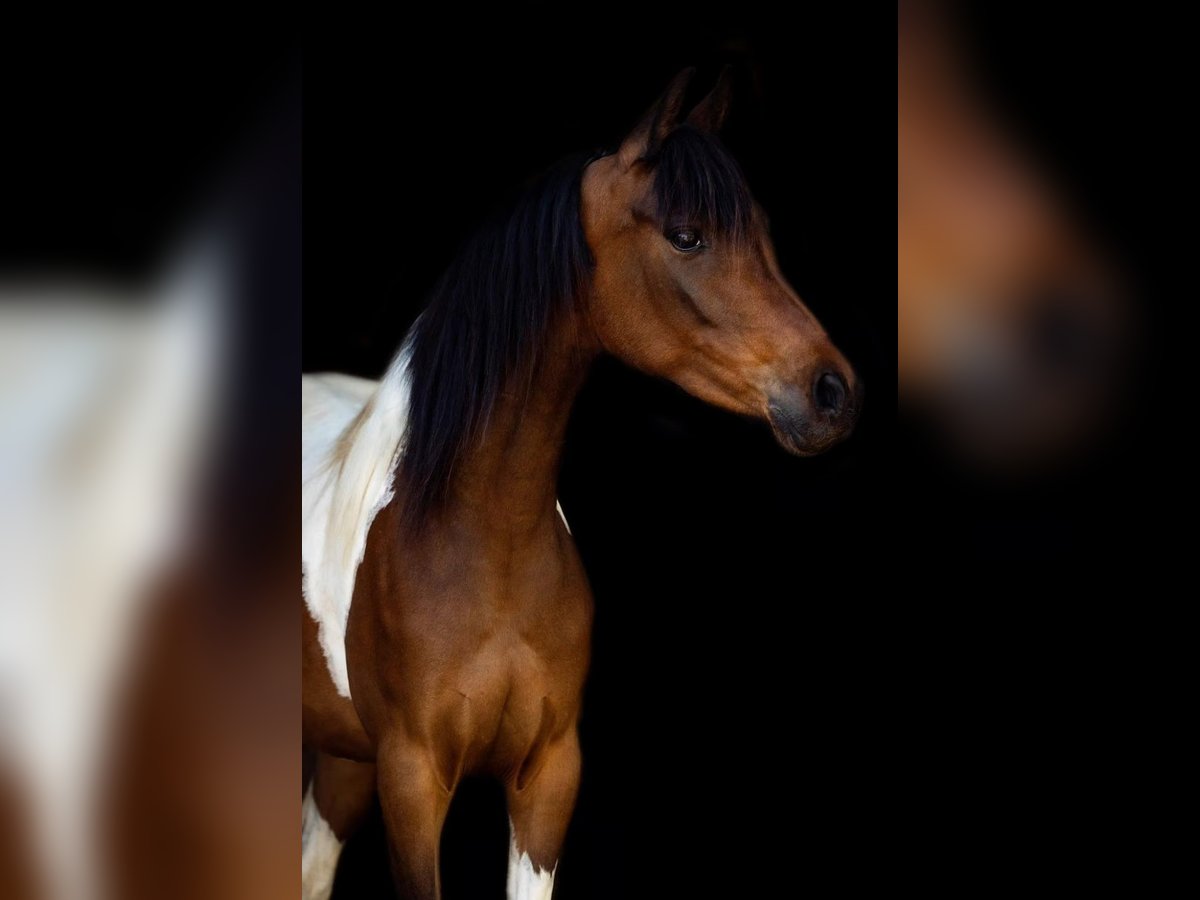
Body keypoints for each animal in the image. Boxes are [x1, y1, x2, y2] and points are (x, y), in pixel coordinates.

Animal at [301, 68, 860, 900]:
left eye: (761, 230)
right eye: (687, 234)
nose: (831, 392)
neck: (483, 538)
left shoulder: (549, 778)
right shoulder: (412, 780)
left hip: (342, 760)